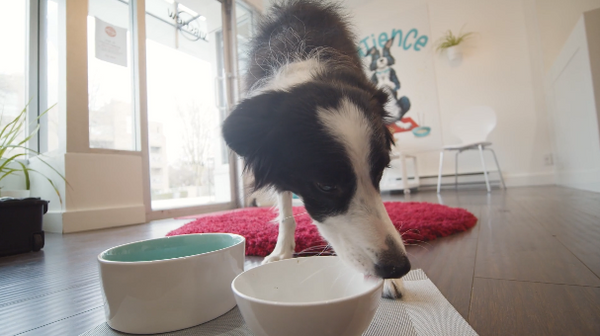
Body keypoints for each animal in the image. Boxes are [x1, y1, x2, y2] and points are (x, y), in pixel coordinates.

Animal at [223, 0, 410, 300]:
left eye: (380, 172)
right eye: (325, 185)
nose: (398, 267)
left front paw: (390, 282)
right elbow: (285, 209)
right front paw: (282, 251)